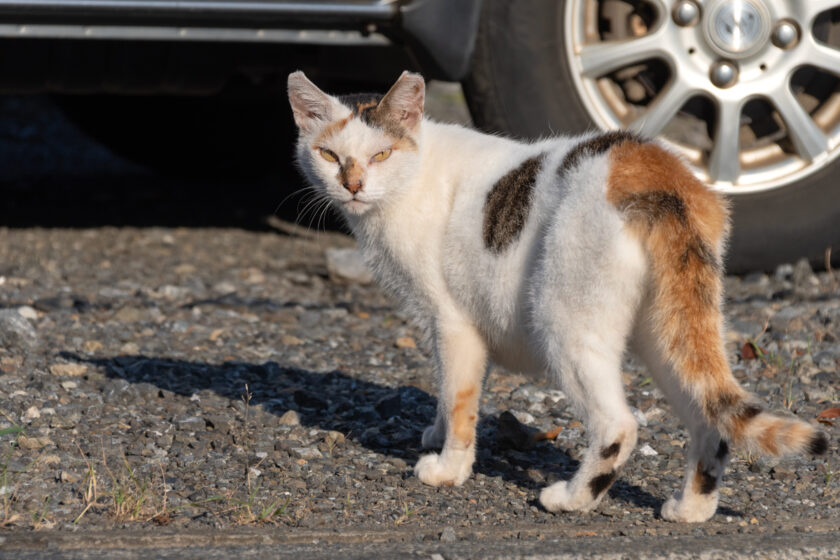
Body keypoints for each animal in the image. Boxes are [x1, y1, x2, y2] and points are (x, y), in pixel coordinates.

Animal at [288, 71, 828, 524]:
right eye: (329, 155)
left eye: (381, 155)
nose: (353, 184)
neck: (414, 174)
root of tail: (652, 168)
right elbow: (448, 389)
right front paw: (436, 436)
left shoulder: (452, 322)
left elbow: (459, 398)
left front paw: (448, 467)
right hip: (670, 329)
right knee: (709, 417)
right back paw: (691, 509)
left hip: (562, 319)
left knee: (618, 425)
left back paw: (572, 499)